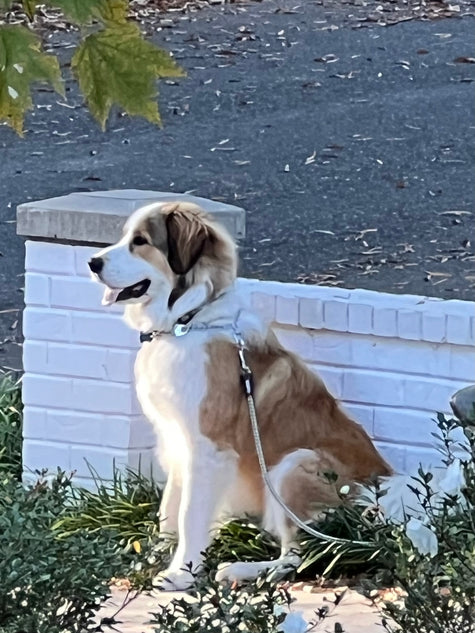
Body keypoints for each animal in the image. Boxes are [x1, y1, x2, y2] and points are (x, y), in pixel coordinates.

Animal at [88, 200, 390, 592]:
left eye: (140, 242)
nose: (92, 263)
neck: (189, 320)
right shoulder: (177, 440)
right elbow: (169, 509)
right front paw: (157, 555)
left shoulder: (208, 448)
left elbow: (188, 514)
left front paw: (181, 573)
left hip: (294, 465)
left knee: (300, 555)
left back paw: (241, 569)